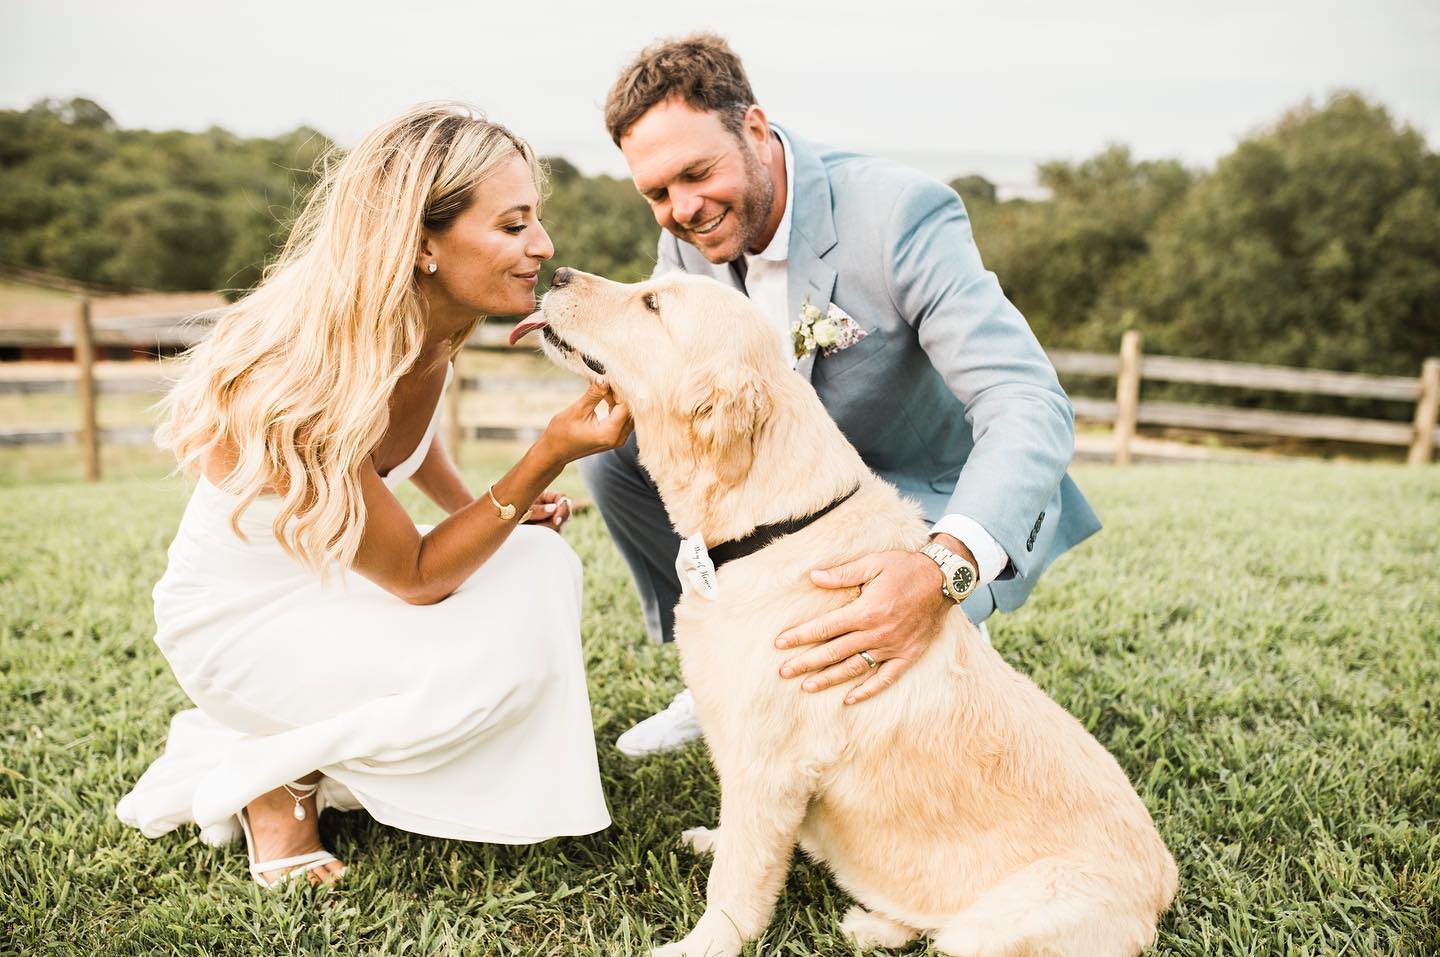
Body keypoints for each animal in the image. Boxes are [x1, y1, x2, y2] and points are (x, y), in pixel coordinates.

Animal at [512, 264, 1175, 949]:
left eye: (652, 304)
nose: (557, 271)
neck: (775, 528)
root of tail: (1163, 889)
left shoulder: (771, 765)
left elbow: (739, 883)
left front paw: (702, 945)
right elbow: (742, 846)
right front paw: (713, 840)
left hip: (993, 928)